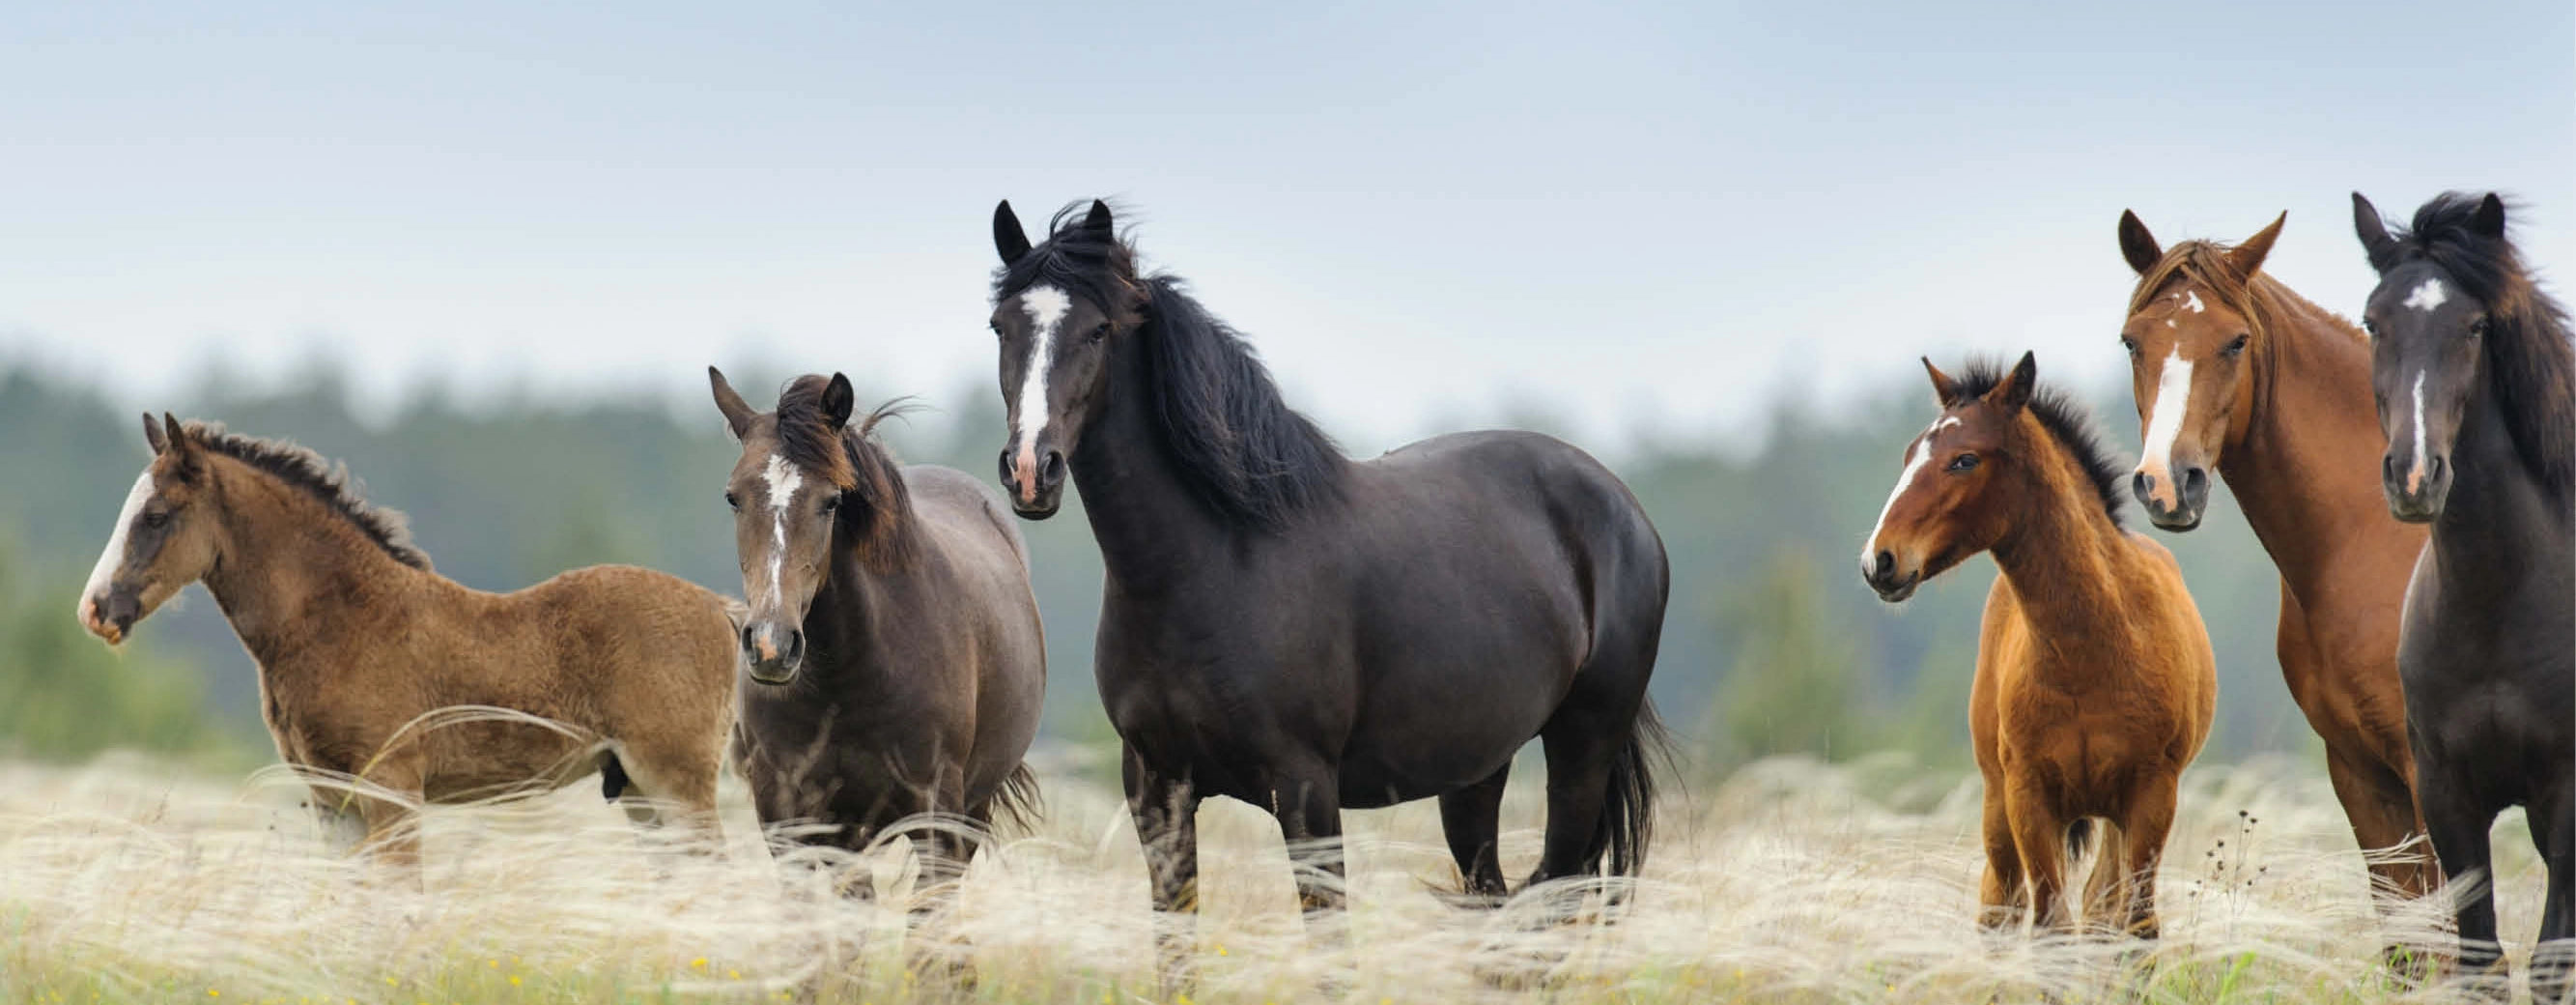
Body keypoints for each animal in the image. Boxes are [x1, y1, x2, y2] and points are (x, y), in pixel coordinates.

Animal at [74, 414, 739, 872]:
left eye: (156, 515)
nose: (96, 608)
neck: (345, 620)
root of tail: (722, 609)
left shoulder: (391, 788)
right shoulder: (332, 800)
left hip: (676, 782)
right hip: (640, 793)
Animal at [709, 368, 1045, 884]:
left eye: (831, 502)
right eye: (733, 497)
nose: (771, 646)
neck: (847, 680)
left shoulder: (937, 821)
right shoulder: (789, 823)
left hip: (970, 811)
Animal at [982, 199, 1671, 957]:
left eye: (1098, 329)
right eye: (1001, 326)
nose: (1030, 470)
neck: (1214, 564)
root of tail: (1620, 504)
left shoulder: (1307, 792)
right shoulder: (1156, 790)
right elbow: (1176, 952)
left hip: (1582, 751)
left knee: (1551, 899)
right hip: (1475, 772)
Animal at [1862, 352, 2216, 938]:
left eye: (1965, 459)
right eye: (1911, 453)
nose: (1879, 561)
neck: (2090, 651)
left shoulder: (2151, 796)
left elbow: (2135, 925)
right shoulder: (2029, 797)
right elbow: (2050, 925)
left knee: (2101, 907)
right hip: (1996, 802)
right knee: (1999, 906)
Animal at [2353, 191, 2574, 1001]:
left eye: (2475, 326)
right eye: (2372, 321)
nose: (2415, 476)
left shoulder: (2566, 793)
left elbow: (2549, 960)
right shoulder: (2447, 795)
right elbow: (2478, 961)